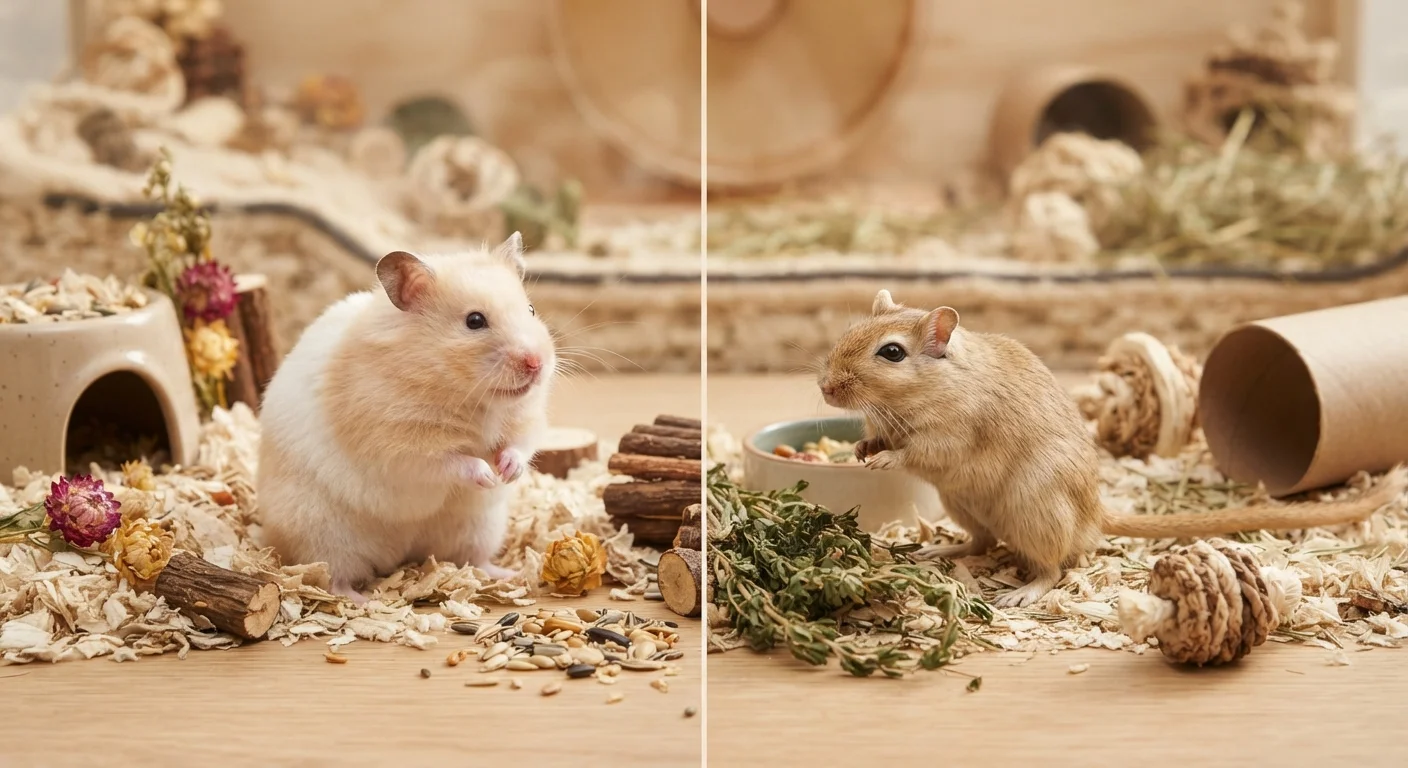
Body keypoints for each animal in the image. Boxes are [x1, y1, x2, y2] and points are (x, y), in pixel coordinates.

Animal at [257, 233, 554, 604]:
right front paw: (487, 475)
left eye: (531, 310)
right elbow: (449, 462)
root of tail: (398, 554)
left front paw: (507, 473)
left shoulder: (526, 420)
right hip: (321, 532)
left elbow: (520, 446)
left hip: (477, 528)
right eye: (474, 321)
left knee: (473, 559)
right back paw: (363, 601)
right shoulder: (398, 447)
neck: (475, 399)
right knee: (333, 577)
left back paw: (510, 575)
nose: (536, 363)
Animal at [818, 289, 1406, 608]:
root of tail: (1095, 518)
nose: (824, 388)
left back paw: (1020, 593)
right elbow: (881, 437)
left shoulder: (950, 437)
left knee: (1052, 568)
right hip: (963, 503)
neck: (935, 385)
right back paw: (939, 551)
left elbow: (917, 452)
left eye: (892, 353)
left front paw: (884, 458)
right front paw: (861, 447)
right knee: (981, 542)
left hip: (1033, 509)